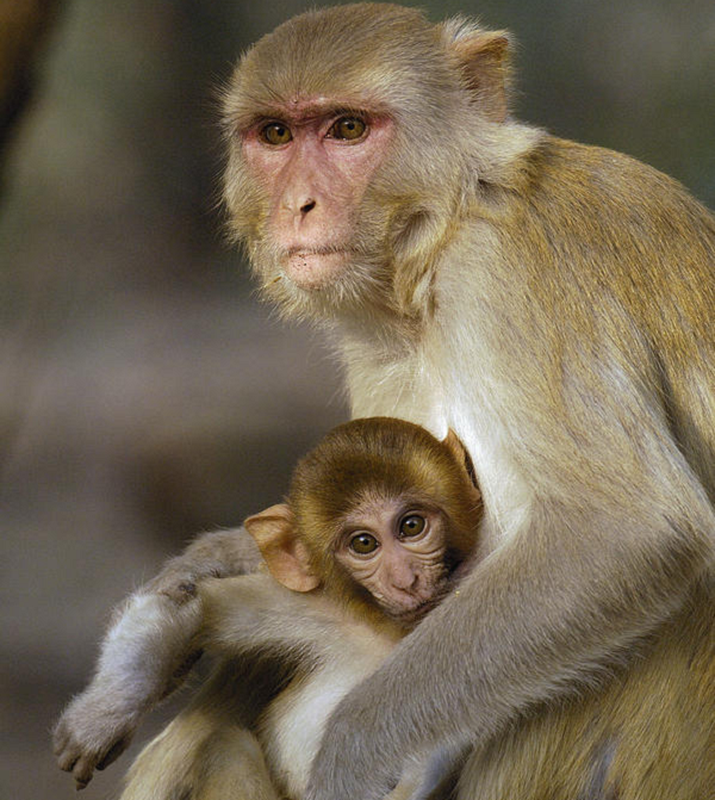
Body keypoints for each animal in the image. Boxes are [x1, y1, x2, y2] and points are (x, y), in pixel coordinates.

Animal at [117, 418, 484, 800]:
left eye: (411, 526)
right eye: (363, 543)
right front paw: (109, 714)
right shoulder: (318, 616)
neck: (387, 634)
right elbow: (206, 610)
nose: (406, 580)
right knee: (226, 746)